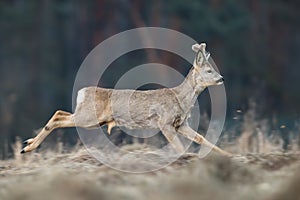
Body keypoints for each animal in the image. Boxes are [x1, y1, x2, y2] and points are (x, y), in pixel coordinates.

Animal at [21, 43, 232, 157]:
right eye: (208, 70)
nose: (222, 78)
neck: (180, 98)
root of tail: (82, 92)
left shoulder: (180, 124)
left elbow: (201, 138)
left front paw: (229, 155)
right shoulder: (164, 122)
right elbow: (179, 146)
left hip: (90, 117)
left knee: (61, 113)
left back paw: (29, 143)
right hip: (89, 118)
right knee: (59, 117)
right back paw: (28, 147)